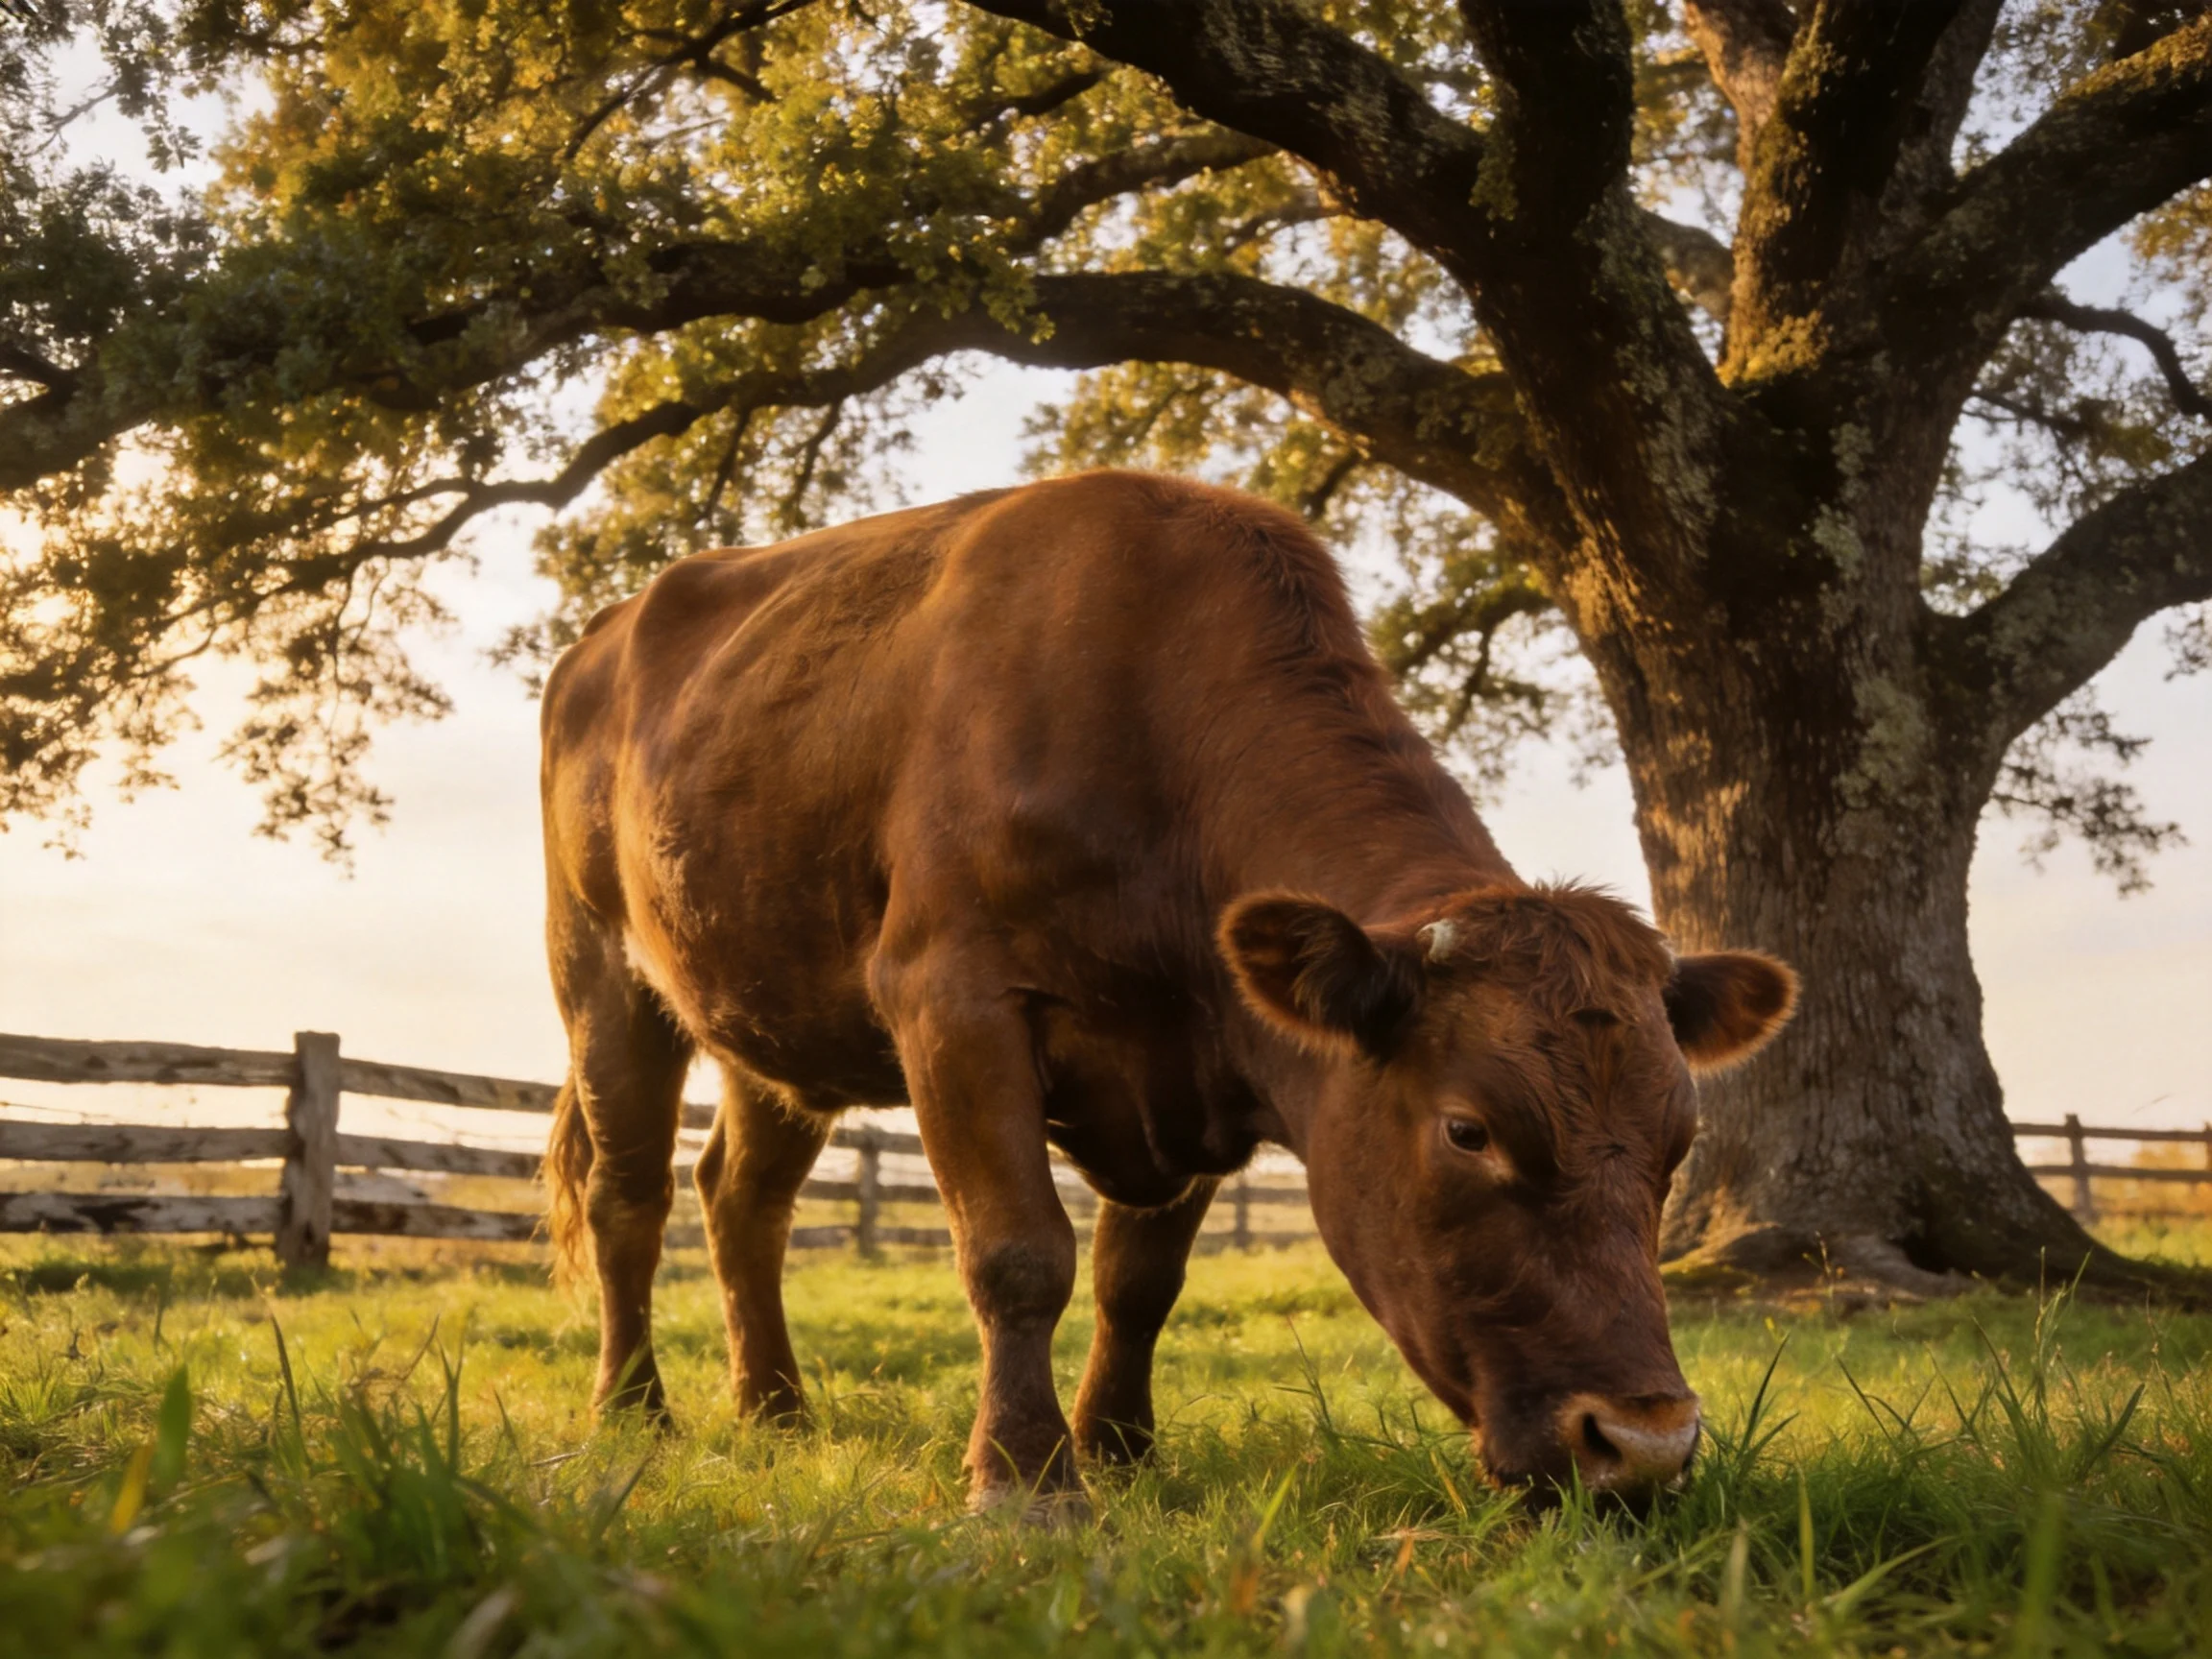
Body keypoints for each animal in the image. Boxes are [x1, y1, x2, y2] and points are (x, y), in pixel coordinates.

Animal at [538, 470, 1796, 1517]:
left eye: (1679, 1141)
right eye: (1469, 1130)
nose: (1645, 1444)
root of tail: (603, 631)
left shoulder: (1190, 1067)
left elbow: (1137, 1281)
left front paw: (1121, 1451)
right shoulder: (954, 1003)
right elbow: (1020, 1255)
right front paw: (1026, 1478)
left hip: (771, 1026)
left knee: (741, 1199)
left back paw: (777, 1412)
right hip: (601, 976)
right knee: (629, 1195)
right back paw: (633, 1410)